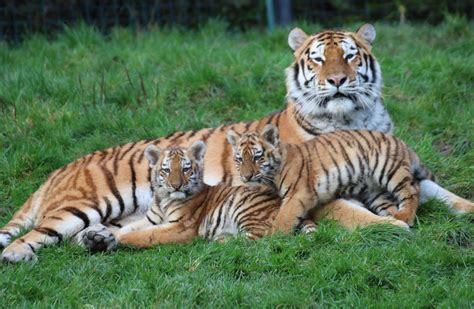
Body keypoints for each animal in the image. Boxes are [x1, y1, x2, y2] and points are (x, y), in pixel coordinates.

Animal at [0, 22, 466, 262]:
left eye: (349, 56)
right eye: (318, 59)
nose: (336, 80)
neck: (353, 116)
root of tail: (58, 170)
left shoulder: (396, 169)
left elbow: (449, 196)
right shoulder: (318, 192)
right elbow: (356, 215)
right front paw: (393, 228)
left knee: (98, 234)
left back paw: (96, 241)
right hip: (86, 203)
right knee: (35, 235)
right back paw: (18, 257)